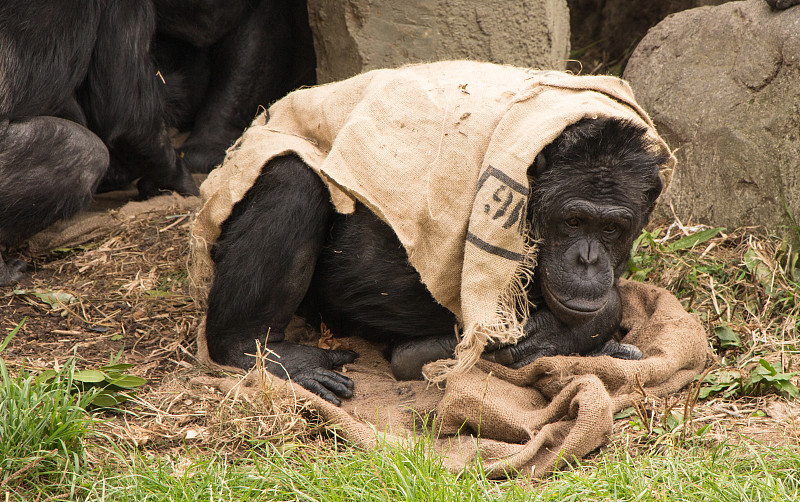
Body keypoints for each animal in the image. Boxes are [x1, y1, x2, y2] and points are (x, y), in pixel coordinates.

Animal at [203, 116, 664, 404]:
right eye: (573, 221)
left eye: (611, 229)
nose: (587, 259)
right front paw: (556, 334)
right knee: (292, 177)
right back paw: (259, 350)